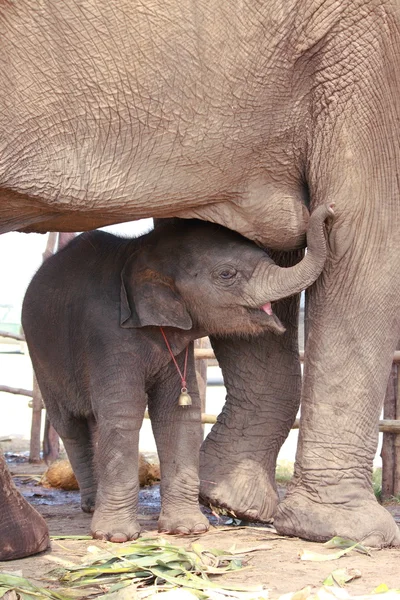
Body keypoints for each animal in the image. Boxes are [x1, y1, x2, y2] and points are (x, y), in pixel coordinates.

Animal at [23, 207, 332, 544]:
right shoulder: (107, 336)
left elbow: (179, 413)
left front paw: (187, 529)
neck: (141, 250)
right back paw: (91, 505)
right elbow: (123, 414)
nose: (326, 212)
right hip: (41, 359)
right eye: (227, 274)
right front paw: (117, 537)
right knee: (70, 426)